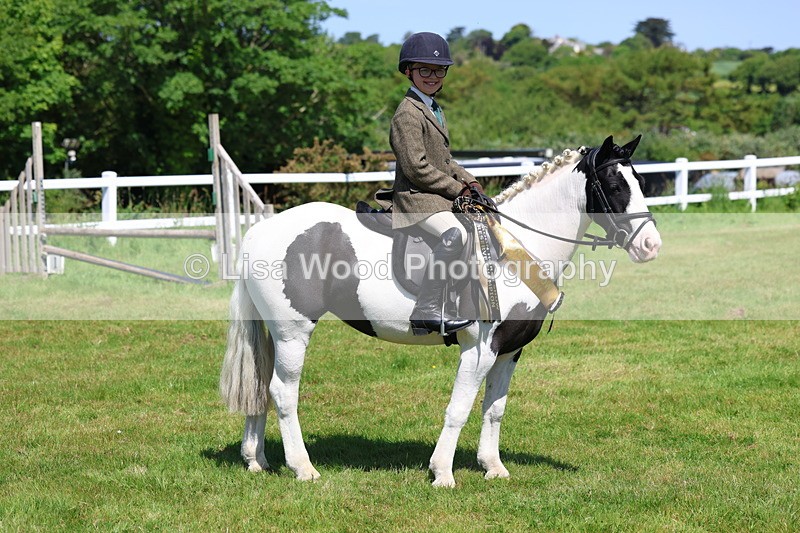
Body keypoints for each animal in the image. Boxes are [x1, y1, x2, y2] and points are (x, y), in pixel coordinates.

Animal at [219, 135, 662, 487]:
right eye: (613, 184)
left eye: (641, 182)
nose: (651, 246)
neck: (515, 247)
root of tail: (260, 230)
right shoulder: (479, 348)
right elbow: (459, 409)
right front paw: (443, 474)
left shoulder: (510, 351)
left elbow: (494, 409)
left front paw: (493, 467)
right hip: (294, 332)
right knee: (282, 391)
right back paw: (303, 468)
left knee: (260, 385)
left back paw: (256, 461)